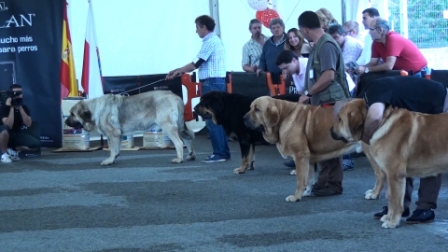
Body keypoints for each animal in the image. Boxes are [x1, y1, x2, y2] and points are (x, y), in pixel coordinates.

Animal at [330, 98, 448, 228]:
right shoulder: (389, 173)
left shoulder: (394, 175)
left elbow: (396, 201)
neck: (381, 123)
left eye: (340, 119)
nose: (330, 131)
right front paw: (388, 216)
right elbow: (390, 197)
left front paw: (392, 222)